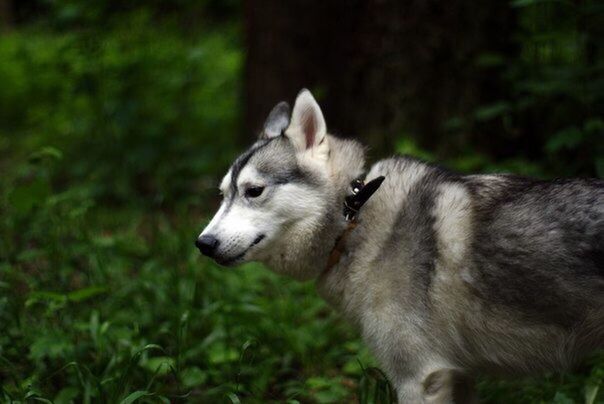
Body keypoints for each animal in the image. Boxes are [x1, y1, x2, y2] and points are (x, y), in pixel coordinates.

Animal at [197, 90, 604, 402]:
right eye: (223, 195)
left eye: (254, 191)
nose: (202, 244)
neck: (353, 224)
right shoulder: (457, 376)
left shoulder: (420, 378)